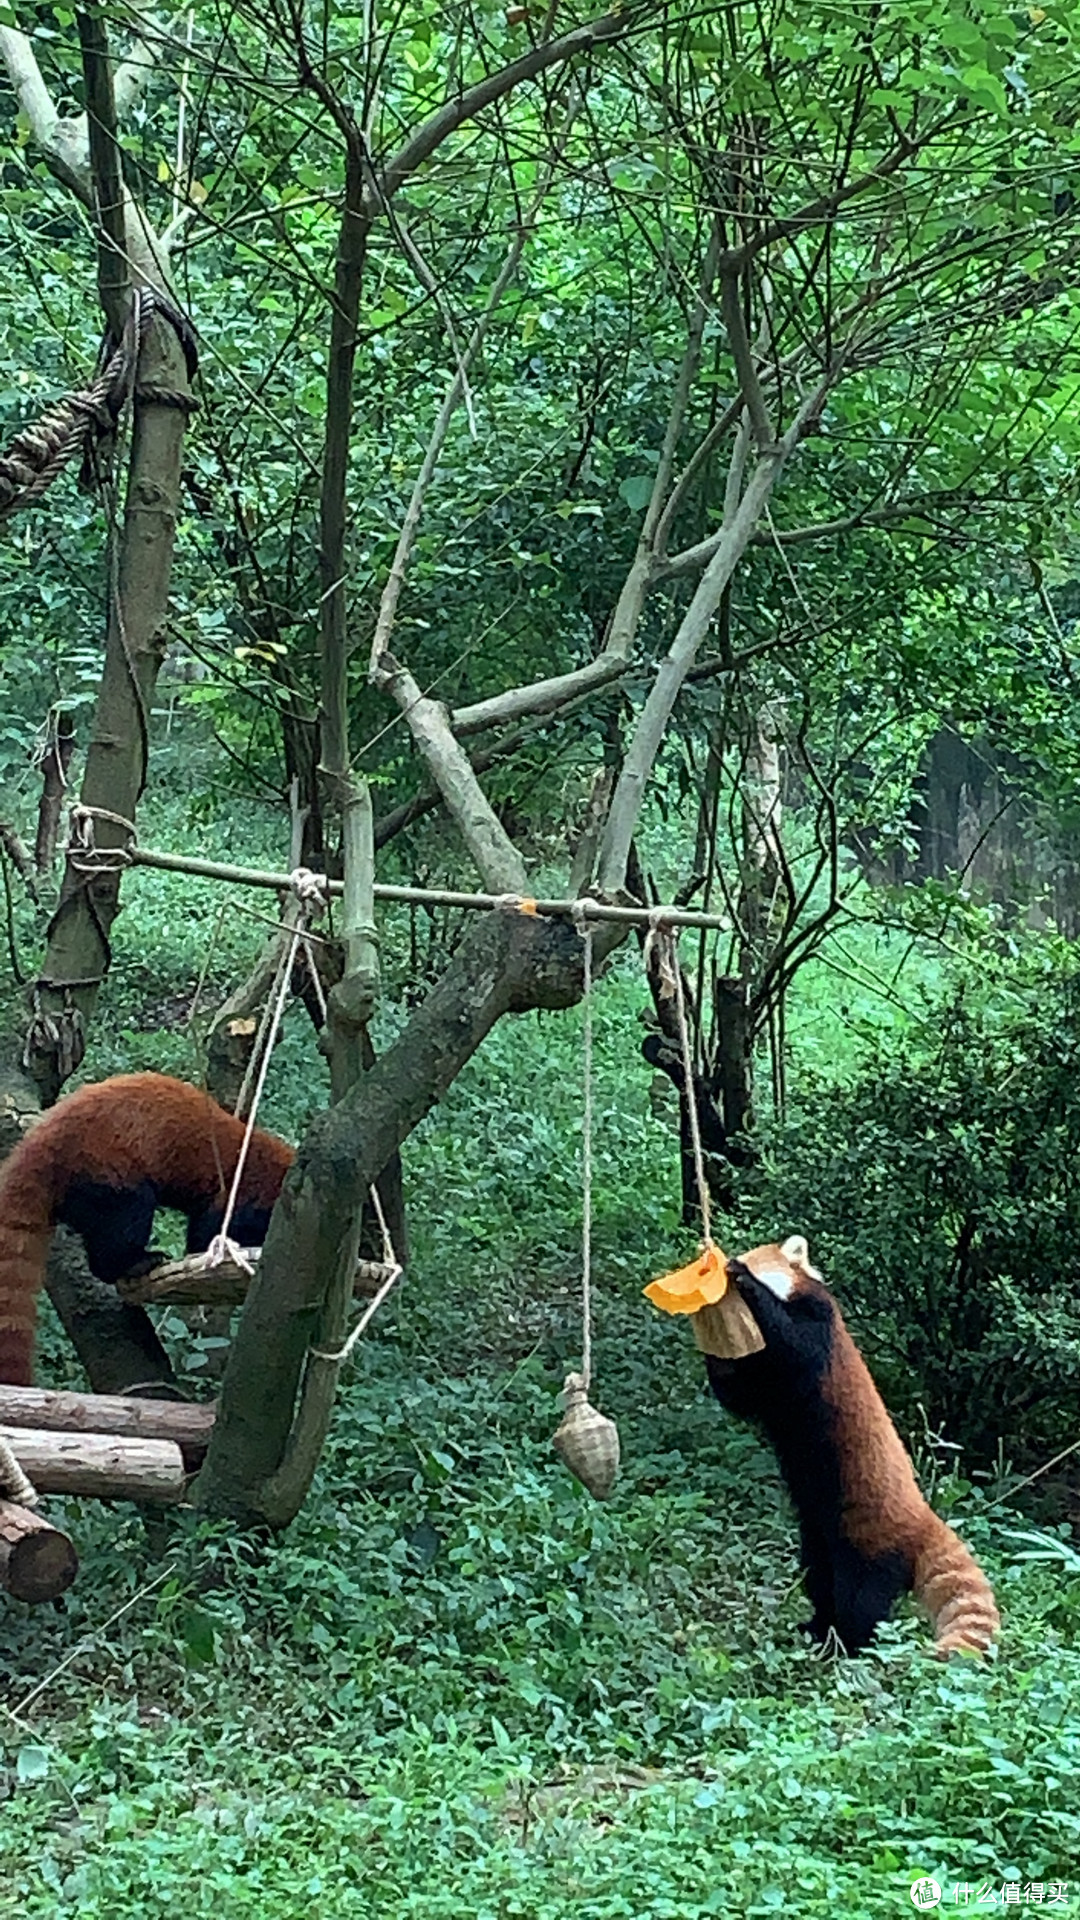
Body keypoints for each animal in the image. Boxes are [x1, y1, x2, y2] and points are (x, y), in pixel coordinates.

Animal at [0, 1075, 292, 1390]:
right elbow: (208, 1230)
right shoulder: (245, 1195)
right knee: (125, 1221)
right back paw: (138, 1262)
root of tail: (42, 1140)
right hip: (107, 1168)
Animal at [703, 1236, 999, 1658]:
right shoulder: (763, 1385)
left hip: (868, 1544)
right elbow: (737, 1396)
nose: (726, 1266)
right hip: (819, 1536)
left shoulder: (817, 1332)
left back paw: (848, 1644)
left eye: (748, 1261)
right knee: (820, 1579)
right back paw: (816, 1629)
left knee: (860, 1601)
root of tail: (924, 1519)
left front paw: (745, 1283)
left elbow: (791, 1340)